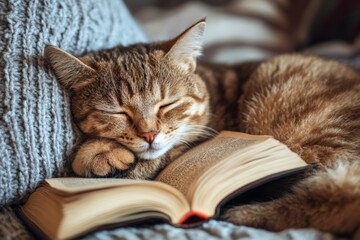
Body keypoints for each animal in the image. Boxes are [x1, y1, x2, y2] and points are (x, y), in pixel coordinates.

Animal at [45, 20, 360, 236]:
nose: (149, 134)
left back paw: (243, 213)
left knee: (338, 199)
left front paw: (97, 155)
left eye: (167, 104)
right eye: (117, 111)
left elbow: (149, 162)